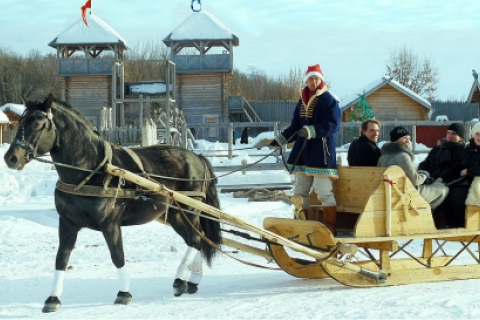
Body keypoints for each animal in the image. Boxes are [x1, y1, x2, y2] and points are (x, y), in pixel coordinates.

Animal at [3, 94, 222, 312]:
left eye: (37, 124)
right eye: (20, 122)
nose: (10, 158)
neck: (92, 170)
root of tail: (197, 157)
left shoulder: (110, 224)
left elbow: (117, 256)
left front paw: (123, 293)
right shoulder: (67, 223)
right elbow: (61, 258)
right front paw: (52, 298)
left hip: (191, 209)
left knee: (195, 240)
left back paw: (179, 280)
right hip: (176, 215)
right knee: (195, 240)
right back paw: (191, 281)